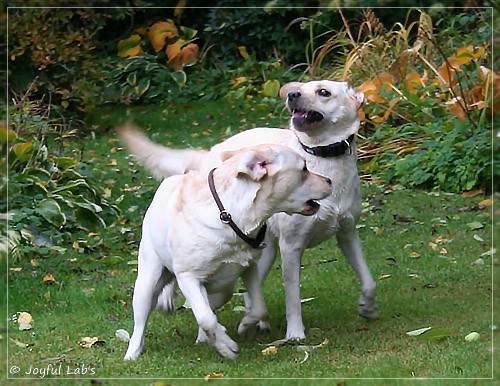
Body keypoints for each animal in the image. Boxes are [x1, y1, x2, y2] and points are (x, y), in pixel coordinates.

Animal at [123, 144, 332, 358]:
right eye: (304, 169)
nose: (329, 180)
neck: (229, 216)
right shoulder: (188, 277)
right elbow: (207, 318)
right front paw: (226, 346)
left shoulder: (249, 267)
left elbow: (258, 308)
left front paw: (245, 324)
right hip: (147, 281)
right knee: (143, 319)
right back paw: (133, 353)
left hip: (224, 289)